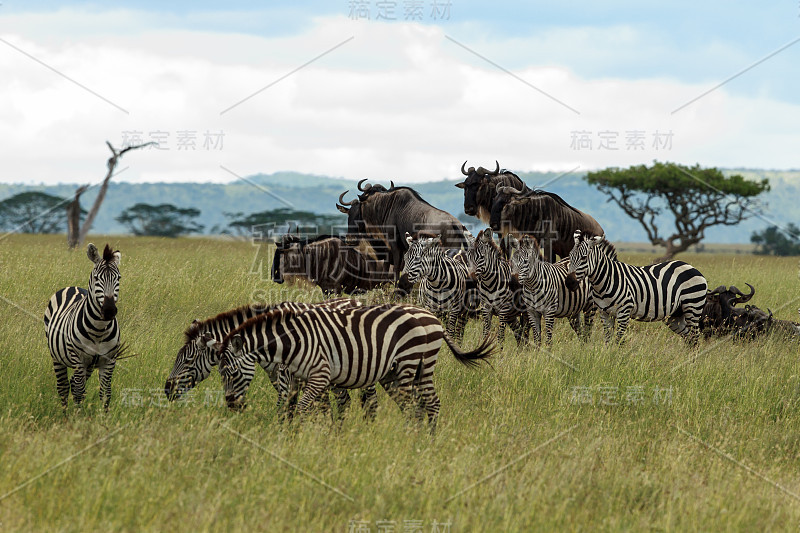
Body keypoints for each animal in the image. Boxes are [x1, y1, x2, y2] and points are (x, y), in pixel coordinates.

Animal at [43, 243, 122, 410]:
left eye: (118, 278)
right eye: (97, 278)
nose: (109, 310)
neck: (99, 330)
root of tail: (72, 286)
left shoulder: (109, 361)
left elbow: (106, 393)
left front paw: (103, 417)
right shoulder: (78, 358)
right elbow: (78, 392)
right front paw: (77, 416)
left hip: (89, 365)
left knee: (73, 383)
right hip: (57, 357)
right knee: (64, 387)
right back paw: (66, 414)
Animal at [166, 300, 376, 416]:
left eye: (188, 361)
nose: (167, 390)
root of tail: (357, 301)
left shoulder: (290, 375)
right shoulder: (277, 377)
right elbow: (287, 405)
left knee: (370, 400)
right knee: (344, 401)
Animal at [206, 304, 494, 432]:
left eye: (232, 373)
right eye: (218, 374)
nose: (231, 405)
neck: (292, 342)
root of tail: (434, 319)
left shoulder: (320, 375)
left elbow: (304, 408)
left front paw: (305, 436)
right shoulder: (294, 377)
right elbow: (286, 407)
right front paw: (288, 434)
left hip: (413, 363)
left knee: (423, 404)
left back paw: (421, 439)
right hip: (405, 370)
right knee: (421, 404)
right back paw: (419, 437)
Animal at [568, 230, 708, 344]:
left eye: (584, 258)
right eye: (569, 256)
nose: (569, 282)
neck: (606, 279)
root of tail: (690, 266)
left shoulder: (624, 312)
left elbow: (619, 340)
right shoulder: (605, 313)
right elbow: (607, 340)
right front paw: (607, 357)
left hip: (693, 307)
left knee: (695, 338)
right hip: (675, 316)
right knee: (689, 338)